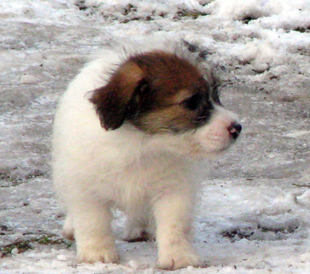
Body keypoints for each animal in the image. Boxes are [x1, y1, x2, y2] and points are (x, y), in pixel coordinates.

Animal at [52, 40, 242, 270]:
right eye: (190, 102)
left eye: (216, 96)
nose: (237, 128)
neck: (142, 145)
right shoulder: (86, 188)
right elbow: (93, 222)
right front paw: (96, 253)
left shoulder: (174, 189)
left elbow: (174, 224)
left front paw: (179, 256)